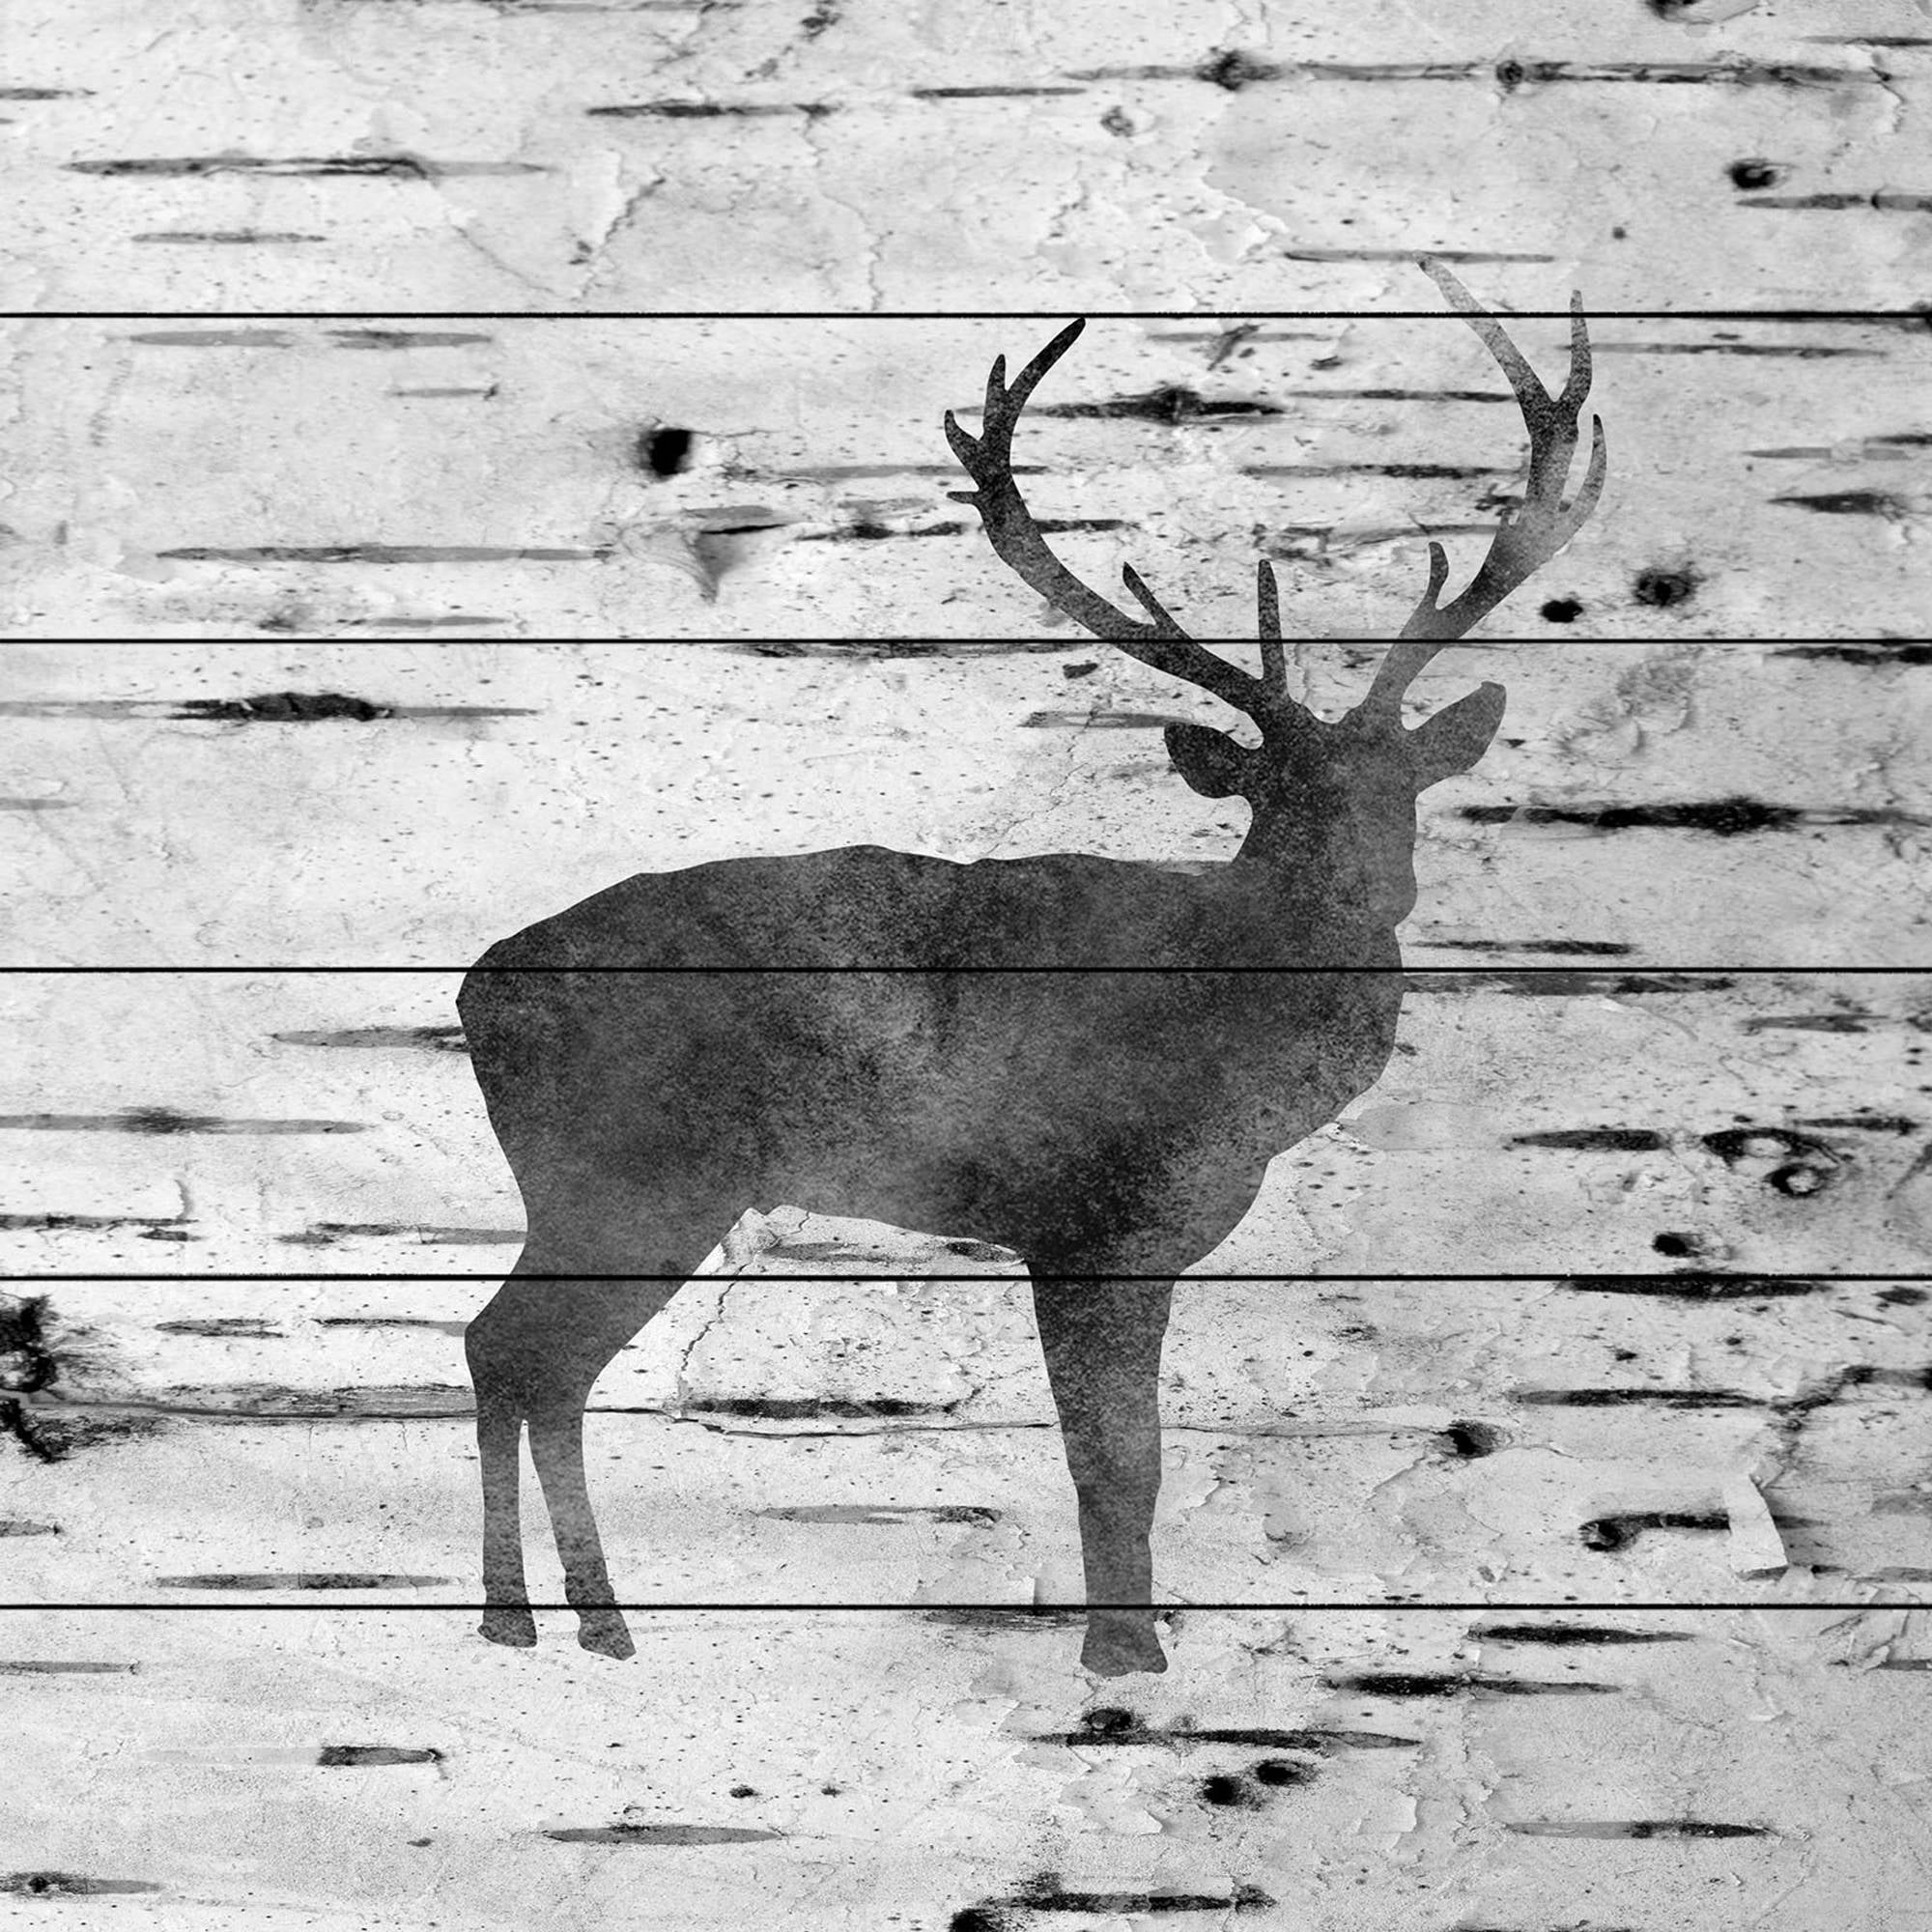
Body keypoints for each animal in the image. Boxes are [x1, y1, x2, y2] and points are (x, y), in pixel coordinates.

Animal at [458, 260, 1605, 1678]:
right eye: (1277, 797)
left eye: (1402, 790)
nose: (1368, 889)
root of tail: (473, 990)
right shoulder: (1087, 1218)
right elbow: (1114, 1458)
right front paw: (1124, 1656)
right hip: (629, 1175)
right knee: (513, 1349)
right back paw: (535, 1617)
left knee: (527, 1357)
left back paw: (582, 1622)